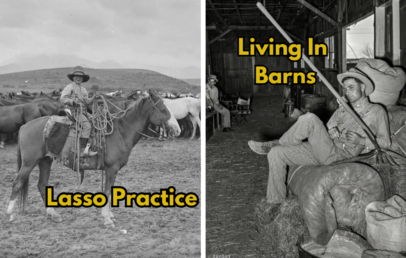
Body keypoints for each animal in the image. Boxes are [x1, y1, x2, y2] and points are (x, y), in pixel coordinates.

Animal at [5, 89, 181, 227]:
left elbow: (110, 191)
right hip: (29, 163)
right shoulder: (111, 169)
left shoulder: (112, 170)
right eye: (163, 109)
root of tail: (25, 126)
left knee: (41, 185)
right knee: (17, 183)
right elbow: (108, 192)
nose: (178, 129)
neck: (121, 131)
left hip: (45, 161)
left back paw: (53, 214)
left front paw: (109, 215)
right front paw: (107, 219)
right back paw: (11, 214)